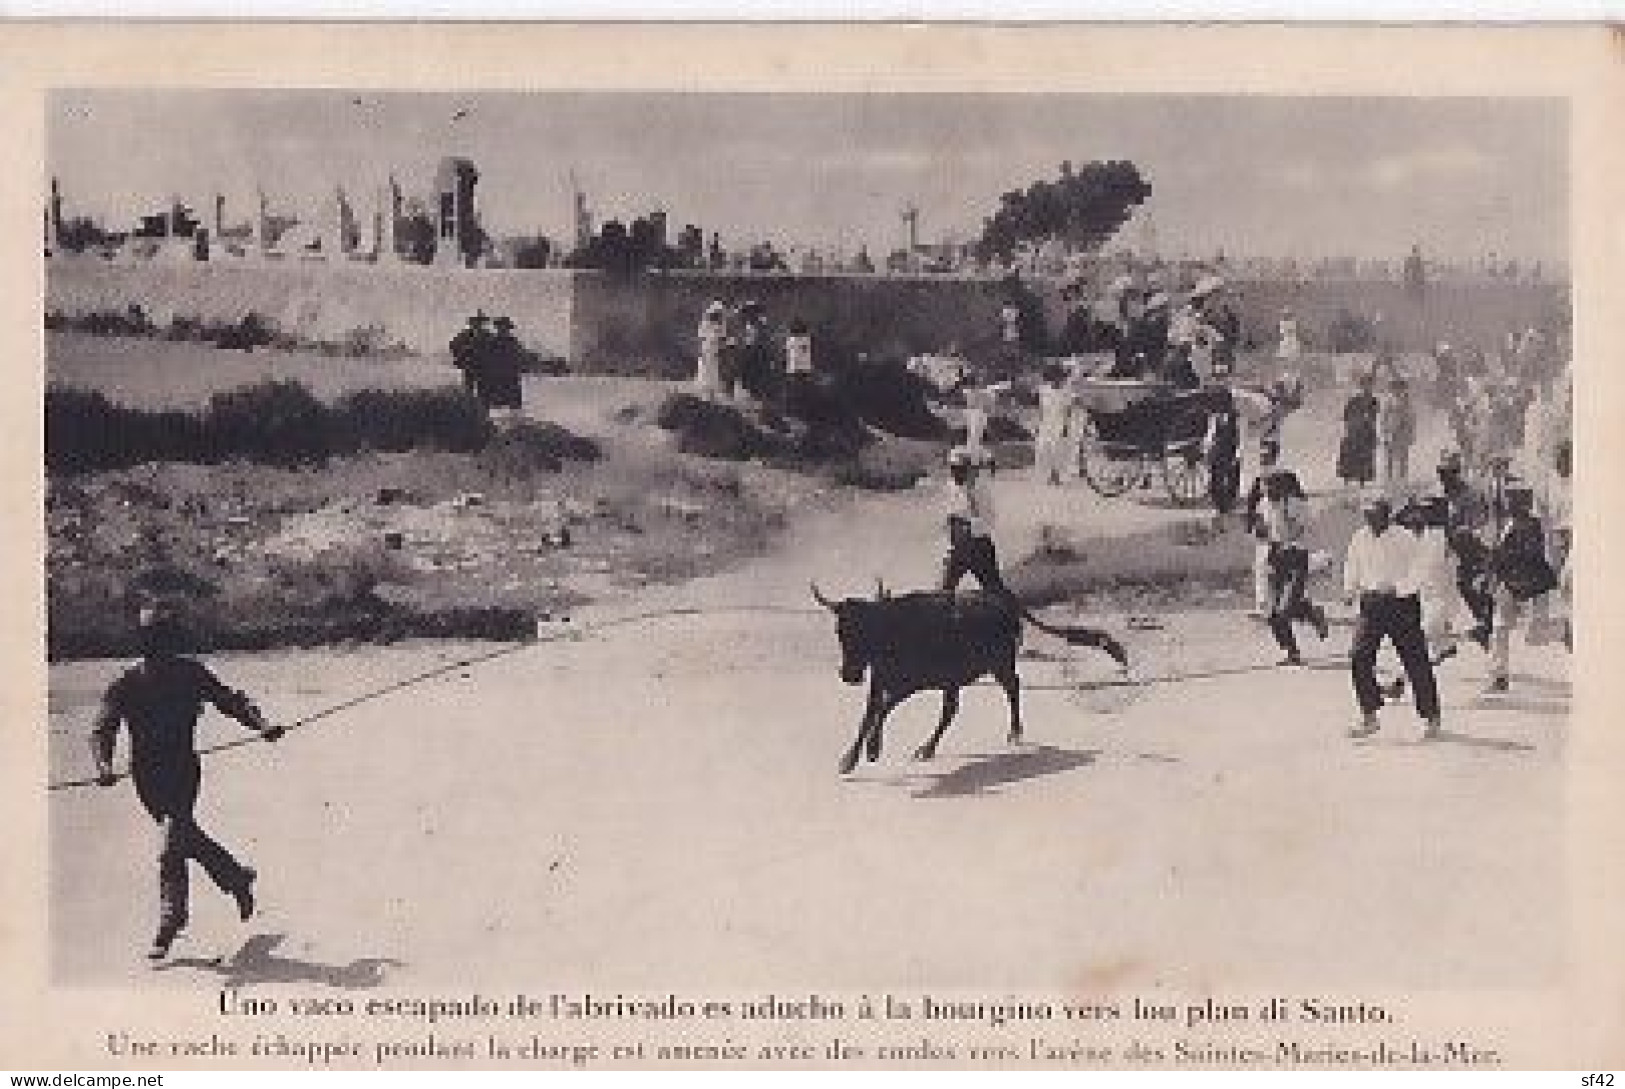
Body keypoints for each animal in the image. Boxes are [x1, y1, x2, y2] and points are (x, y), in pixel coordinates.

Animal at [812, 588, 1131, 776]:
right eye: (840, 631)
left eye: (868, 630)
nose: (849, 675)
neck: (893, 632)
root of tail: (1003, 598)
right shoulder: (878, 682)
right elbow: (868, 715)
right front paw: (849, 760)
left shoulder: (909, 683)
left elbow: (883, 709)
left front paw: (873, 750)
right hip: (955, 678)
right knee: (951, 709)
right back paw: (927, 748)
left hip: (1000, 662)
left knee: (1012, 687)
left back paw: (1014, 732)